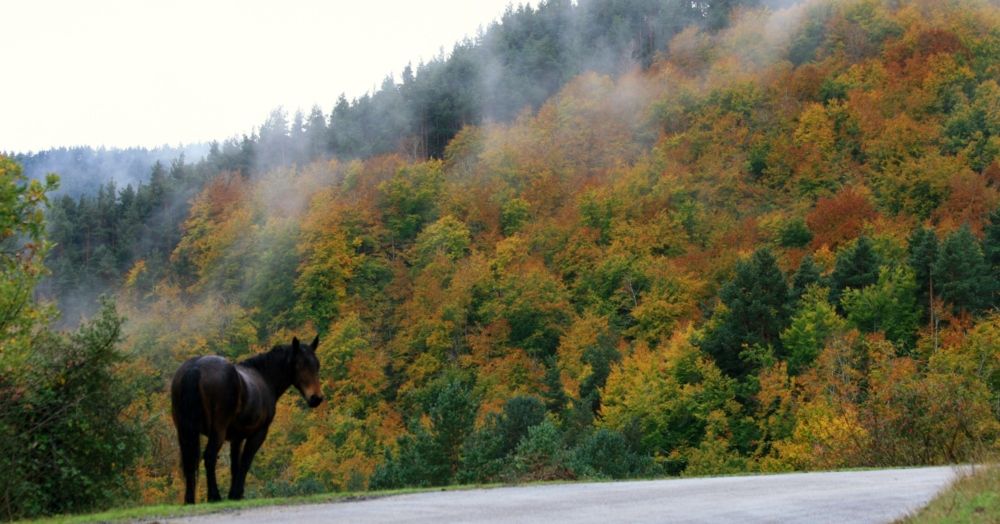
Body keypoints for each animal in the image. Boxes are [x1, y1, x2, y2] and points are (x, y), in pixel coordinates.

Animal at [170, 336, 322, 504]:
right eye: (299, 365)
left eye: (317, 365)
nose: (316, 398)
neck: (264, 377)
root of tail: (195, 368)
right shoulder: (258, 433)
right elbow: (245, 462)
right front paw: (236, 493)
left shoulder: (236, 438)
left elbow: (235, 464)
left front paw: (234, 494)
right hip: (217, 432)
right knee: (209, 456)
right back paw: (214, 496)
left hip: (184, 432)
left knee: (189, 462)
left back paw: (189, 499)